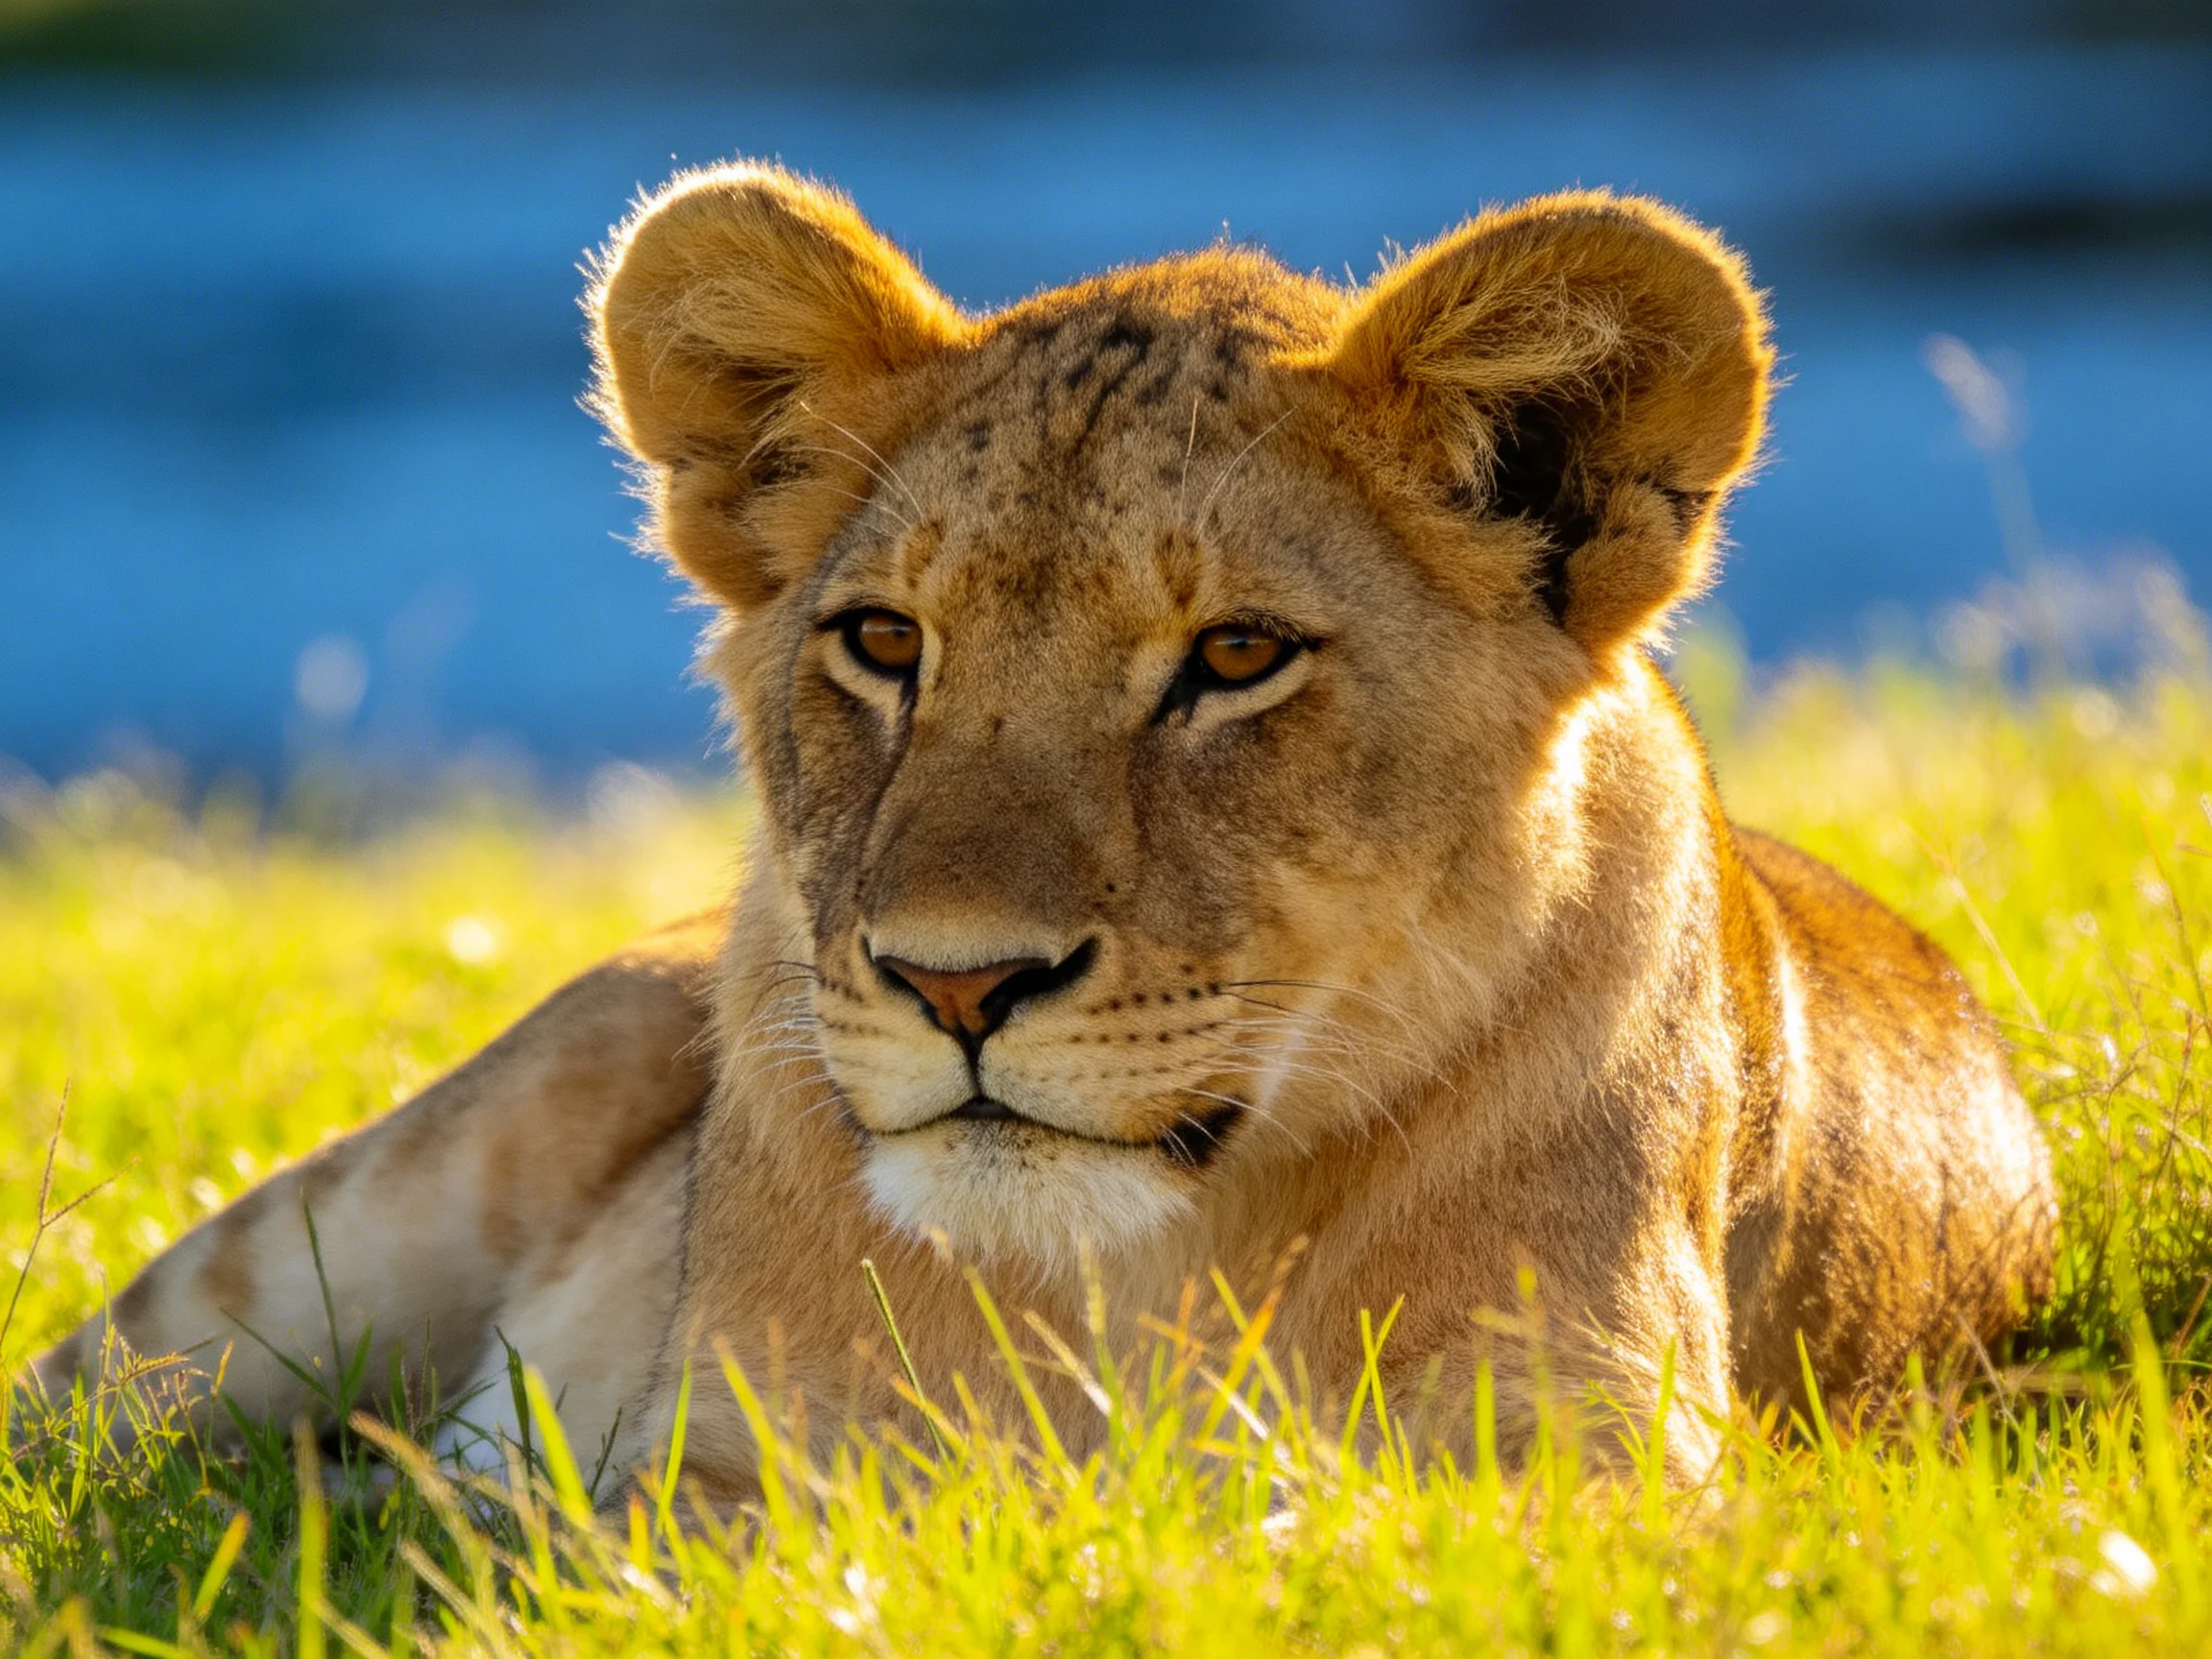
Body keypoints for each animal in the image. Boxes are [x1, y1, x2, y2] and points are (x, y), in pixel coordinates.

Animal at [21, 164, 2055, 1497]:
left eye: (1232, 655)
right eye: (881, 640)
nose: (954, 983)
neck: (1127, 1284)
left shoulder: (1603, 1465)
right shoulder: (701, 1473)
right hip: (342, 1229)